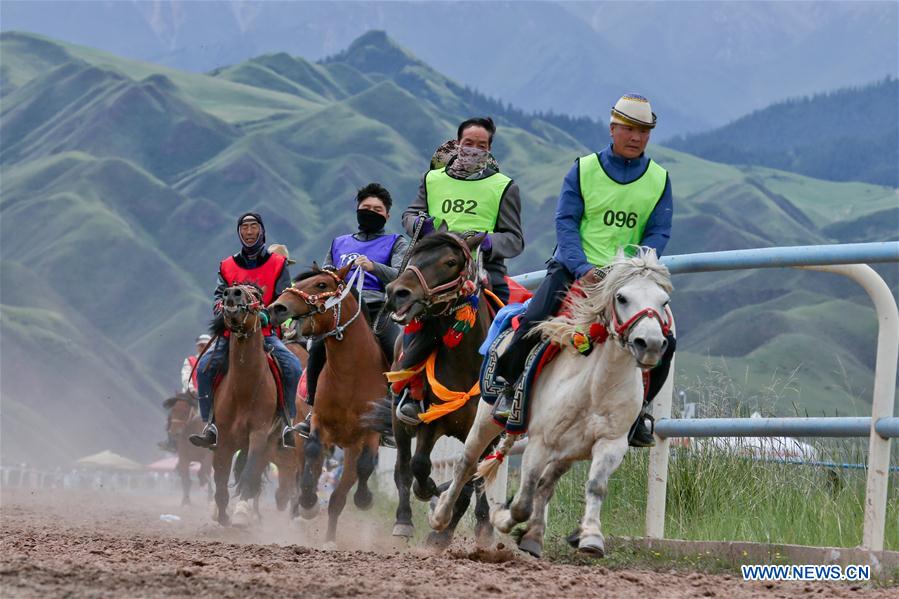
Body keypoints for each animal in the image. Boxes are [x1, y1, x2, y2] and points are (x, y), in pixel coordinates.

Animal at [209, 284, 284, 528]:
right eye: (224, 290)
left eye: (257, 295)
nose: (233, 294)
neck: (243, 390)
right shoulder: (222, 439)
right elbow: (220, 477)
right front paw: (221, 514)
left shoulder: (259, 433)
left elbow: (249, 473)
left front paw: (240, 513)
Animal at [270, 264, 390, 548]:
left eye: (321, 284)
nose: (278, 307)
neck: (352, 374)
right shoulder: (318, 423)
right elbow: (313, 453)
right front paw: (308, 503)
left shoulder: (370, 431)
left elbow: (366, 465)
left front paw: (364, 499)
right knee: (303, 468)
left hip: (350, 446)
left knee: (339, 495)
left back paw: (330, 538)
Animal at [380, 233, 492, 548]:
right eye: (414, 254)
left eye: (450, 262)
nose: (396, 292)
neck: (467, 363)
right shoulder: (429, 420)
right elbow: (419, 466)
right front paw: (429, 490)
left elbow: (472, 478)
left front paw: (452, 529)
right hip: (399, 421)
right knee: (403, 468)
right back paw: (404, 520)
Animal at [430, 248, 676, 556]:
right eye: (622, 297)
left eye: (663, 301)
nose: (651, 344)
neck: (595, 385)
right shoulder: (540, 442)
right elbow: (522, 502)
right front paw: (502, 517)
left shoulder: (611, 443)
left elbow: (595, 487)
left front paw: (591, 537)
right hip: (486, 421)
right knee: (467, 463)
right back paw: (440, 517)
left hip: (569, 451)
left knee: (546, 485)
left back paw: (534, 536)